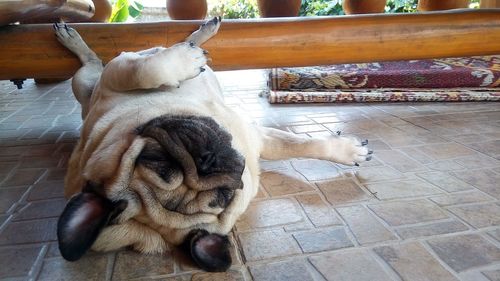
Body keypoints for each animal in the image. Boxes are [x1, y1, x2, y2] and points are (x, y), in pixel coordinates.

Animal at [54, 17, 374, 272]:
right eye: (221, 198)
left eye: (156, 158)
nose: (206, 160)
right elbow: (147, 71)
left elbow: (301, 145)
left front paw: (346, 151)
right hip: (84, 84)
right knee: (92, 62)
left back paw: (200, 37)